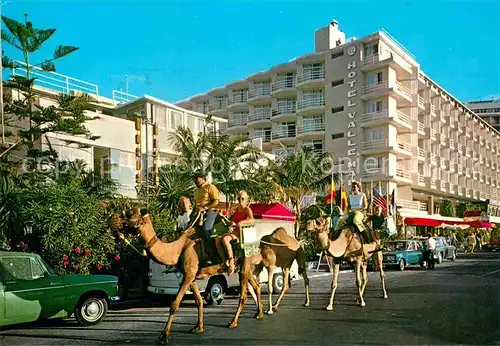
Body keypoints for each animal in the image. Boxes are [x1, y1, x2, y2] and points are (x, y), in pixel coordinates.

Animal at [112, 207, 308, 344]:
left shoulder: (188, 275)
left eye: (130, 216)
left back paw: (233, 322)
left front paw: (163, 336)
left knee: (244, 294)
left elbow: (174, 304)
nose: (112, 222)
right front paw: (198, 327)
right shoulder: (191, 276)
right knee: (257, 286)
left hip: (245, 264)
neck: (178, 249)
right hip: (248, 268)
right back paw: (259, 313)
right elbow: (199, 300)